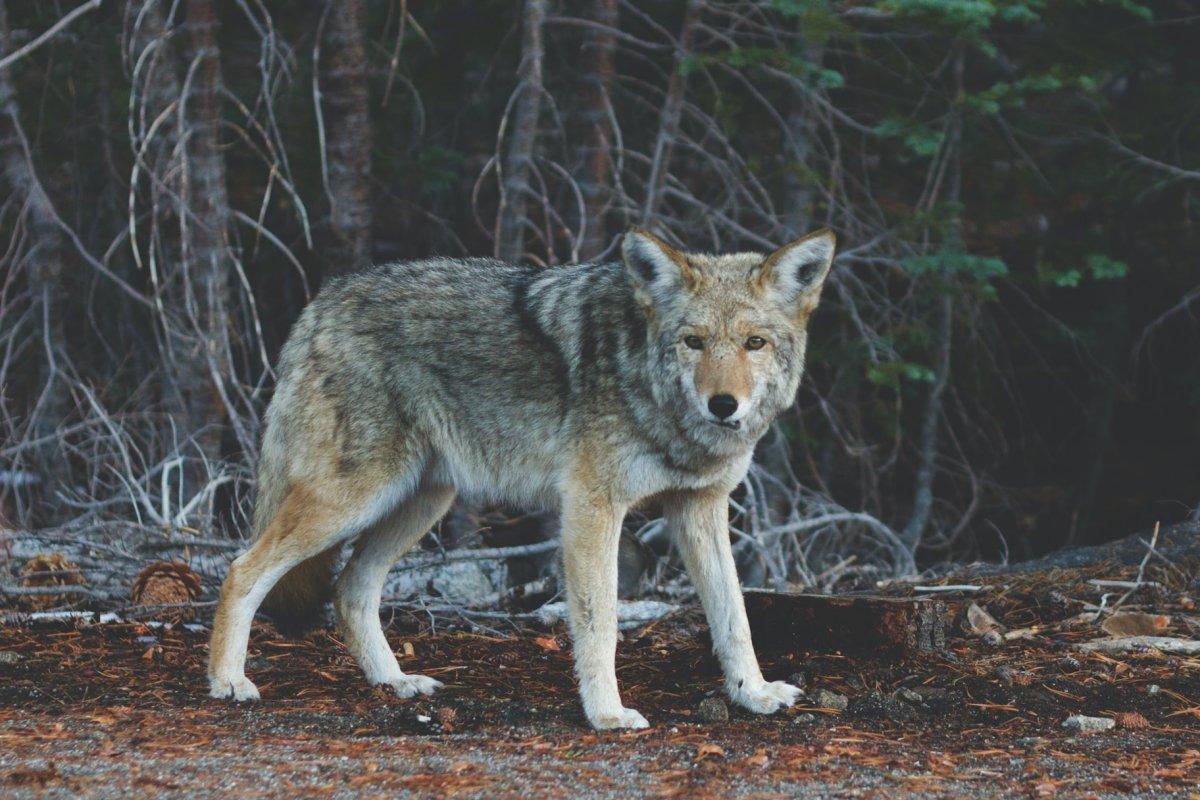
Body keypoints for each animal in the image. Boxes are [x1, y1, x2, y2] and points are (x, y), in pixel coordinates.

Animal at [208, 225, 835, 734]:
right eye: (694, 342)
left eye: (754, 343)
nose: (723, 405)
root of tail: (323, 300)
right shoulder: (592, 508)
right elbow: (601, 622)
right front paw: (607, 715)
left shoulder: (700, 507)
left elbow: (734, 617)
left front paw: (753, 694)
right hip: (354, 499)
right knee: (242, 569)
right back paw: (228, 681)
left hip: (421, 503)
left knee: (350, 589)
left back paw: (396, 683)